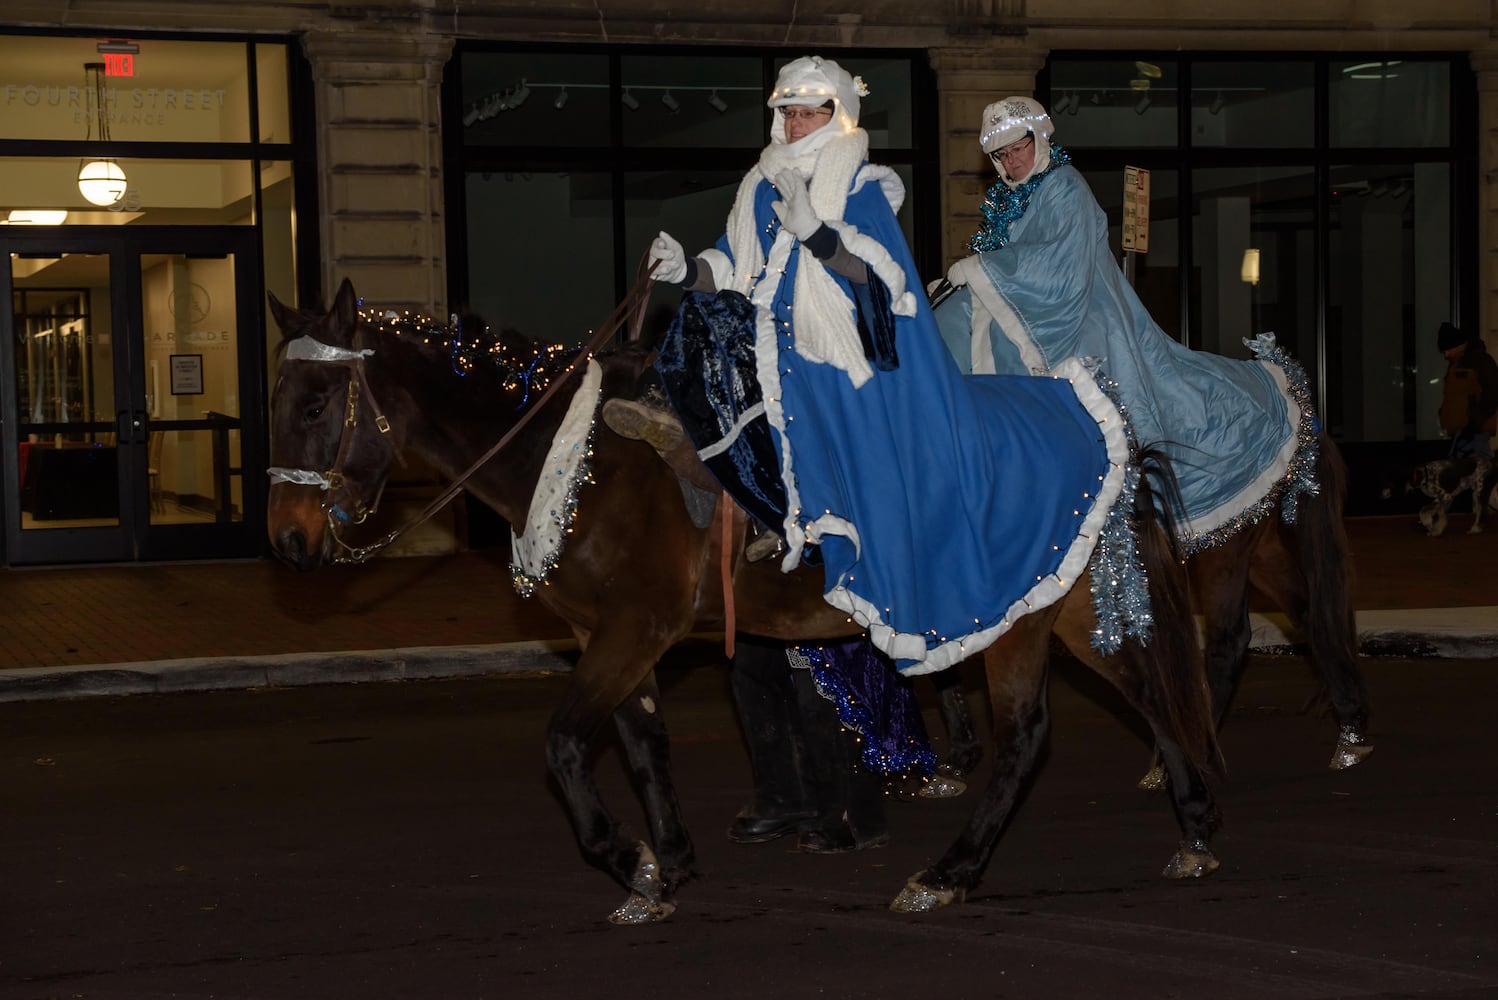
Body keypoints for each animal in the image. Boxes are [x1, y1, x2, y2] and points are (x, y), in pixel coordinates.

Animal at [263, 279, 1222, 922]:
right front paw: (668, 866)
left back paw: (948, 873)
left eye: (314, 406)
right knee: (1151, 695)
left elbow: (564, 747)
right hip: (1068, 605)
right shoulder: (615, 637)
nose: (288, 542)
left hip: (1016, 618)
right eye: (275, 403)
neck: (581, 463)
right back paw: (1196, 828)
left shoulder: (632, 627)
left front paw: (627, 858)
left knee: (1030, 736)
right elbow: (644, 747)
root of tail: (1092, 415)